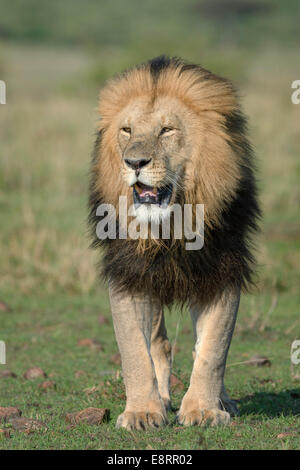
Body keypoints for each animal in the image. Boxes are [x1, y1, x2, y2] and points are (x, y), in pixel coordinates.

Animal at [89, 55, 260, 430]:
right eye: (126, 131)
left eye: (166, 130)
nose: (134, 162)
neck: (171, 226)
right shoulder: (129, 275)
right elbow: (134, 351)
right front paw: (142, 412)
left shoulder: (222, 272)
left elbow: (213, 350)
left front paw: (204, 410)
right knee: (159, 344)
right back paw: (163, 399)